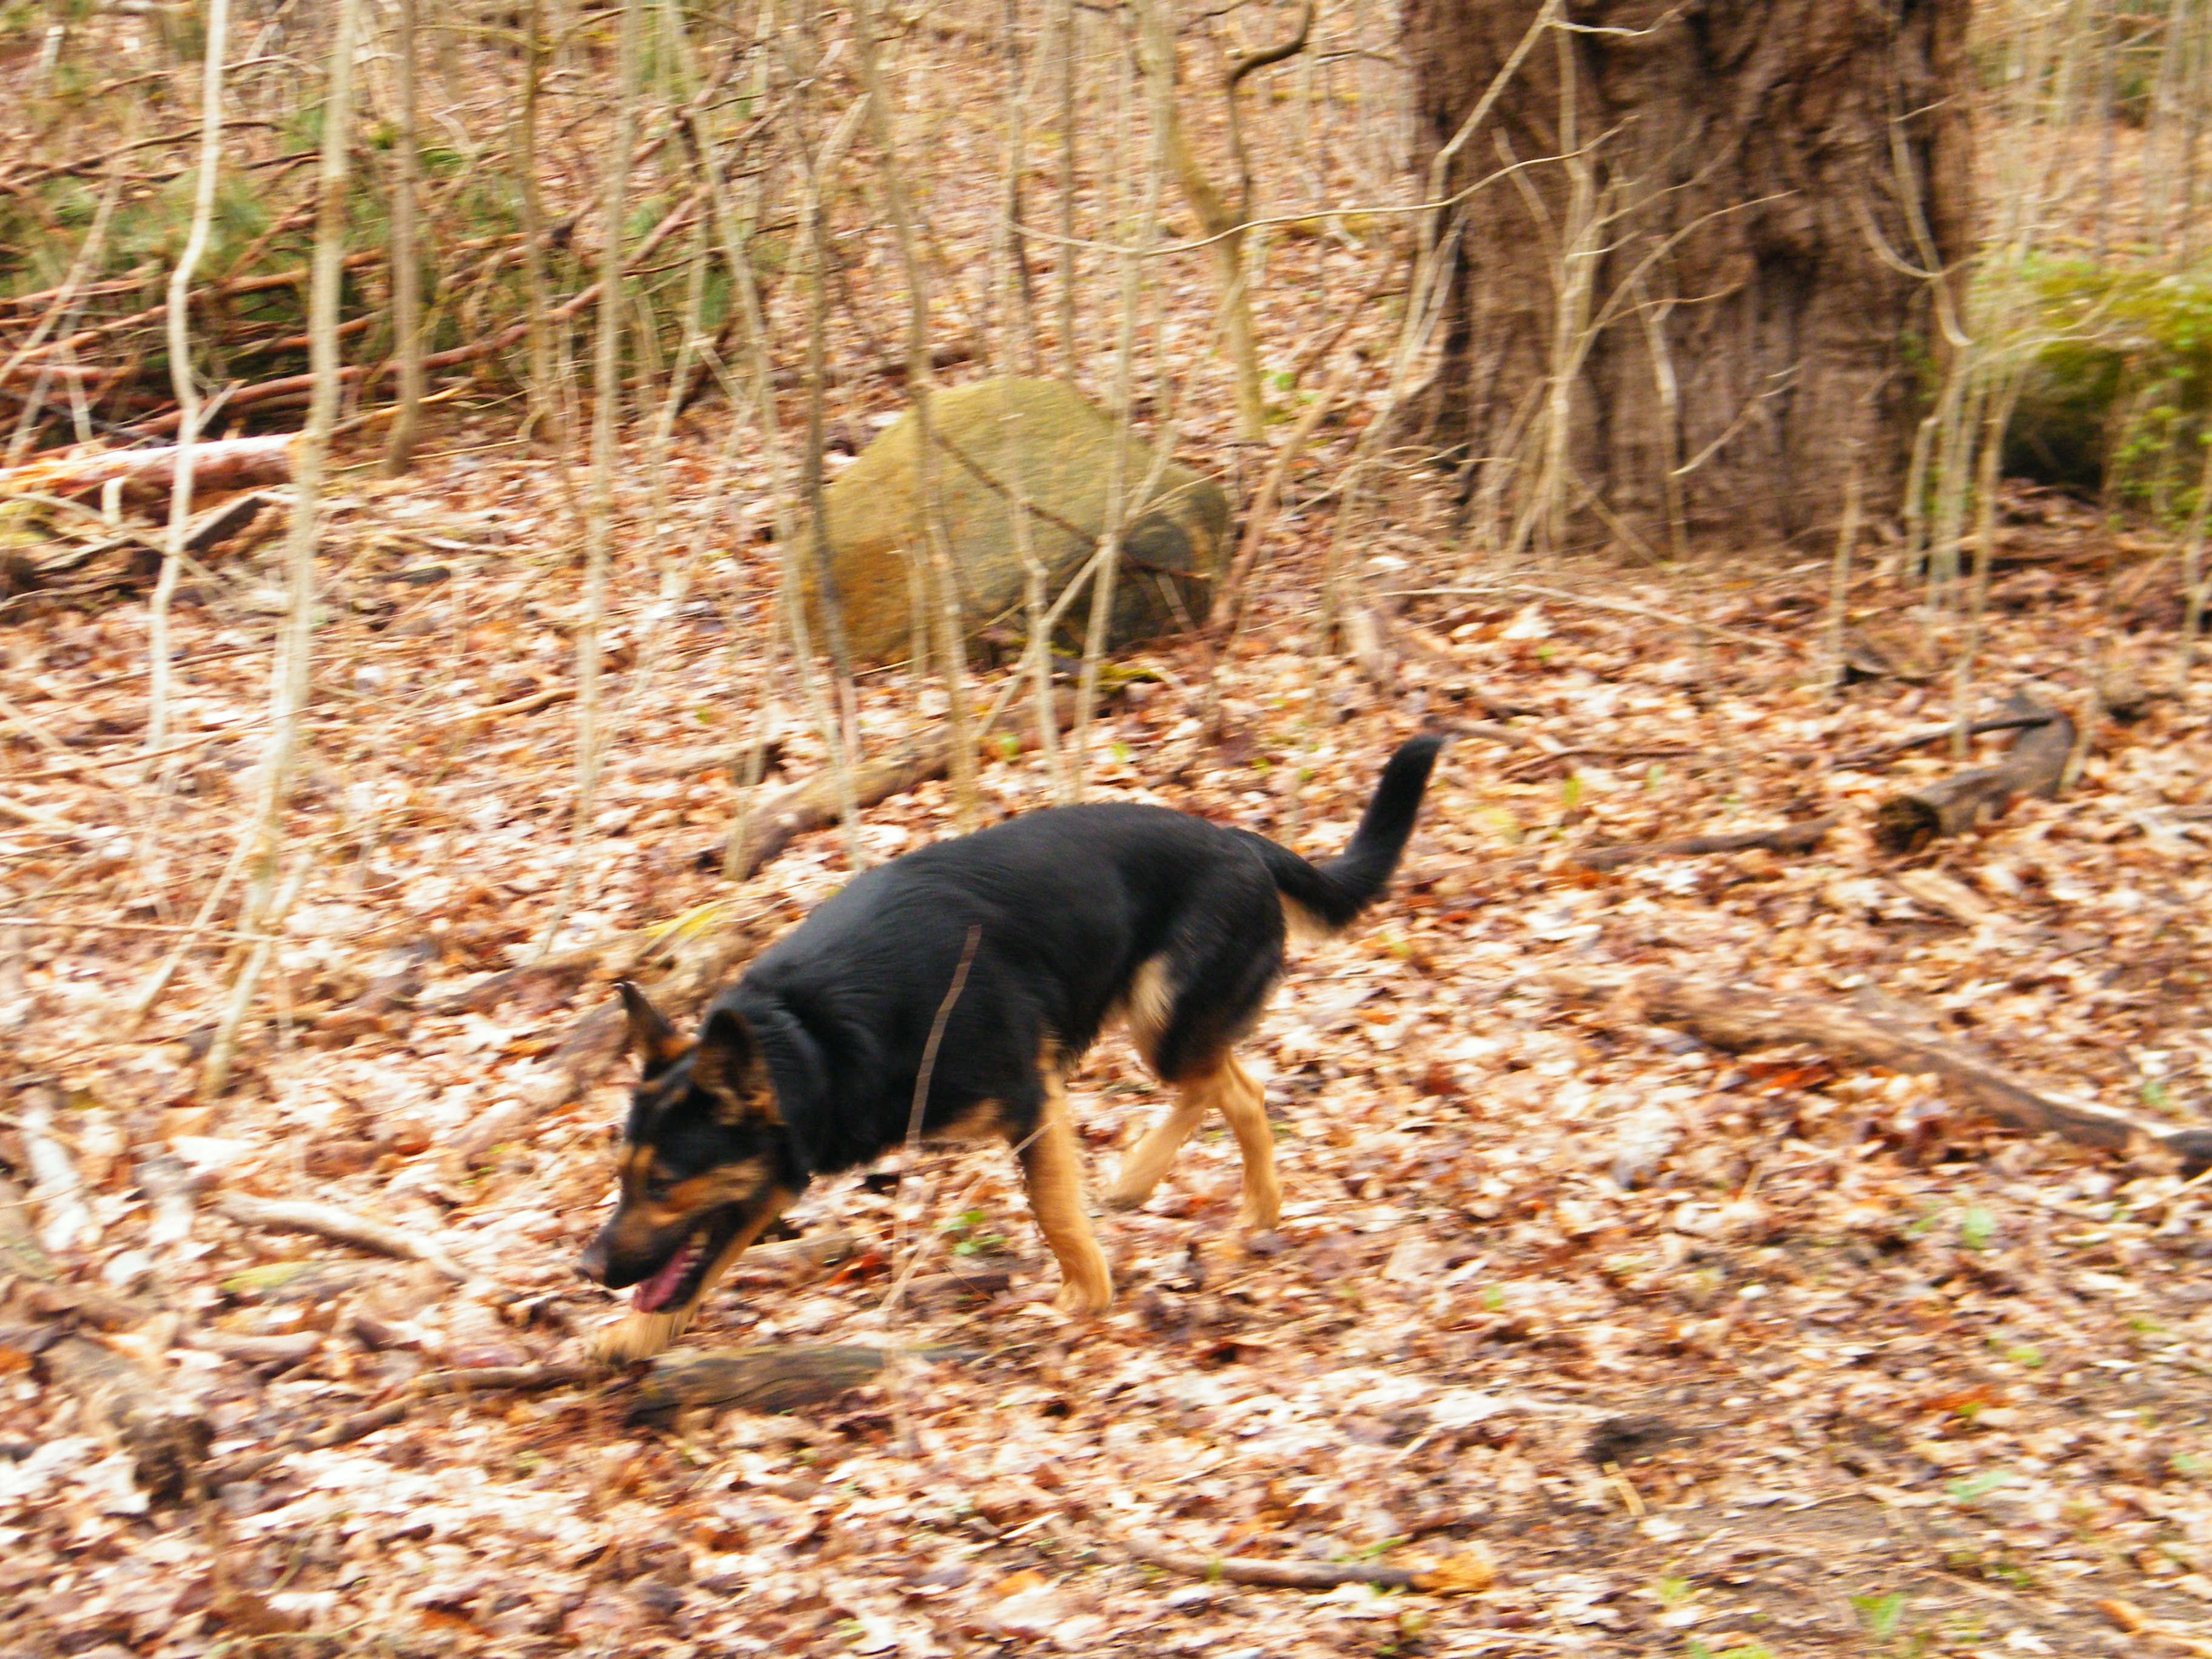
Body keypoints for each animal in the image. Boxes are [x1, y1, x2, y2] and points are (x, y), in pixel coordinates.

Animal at [579, 731, 1446, 1361]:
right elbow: (702, 1267)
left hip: (1162, 1015)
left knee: (1235, 1087)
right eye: (623, 1177)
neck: (807, 1035)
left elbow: (1054, 1209)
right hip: (1161, 1021)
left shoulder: (1031, 1098)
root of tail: (1239, 840)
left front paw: (1087, 1299)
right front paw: (639, 1335)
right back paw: (1151, 1180)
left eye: (665, 1185)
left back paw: (1241, 1201)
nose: (586, 1272)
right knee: (1224, 1080)